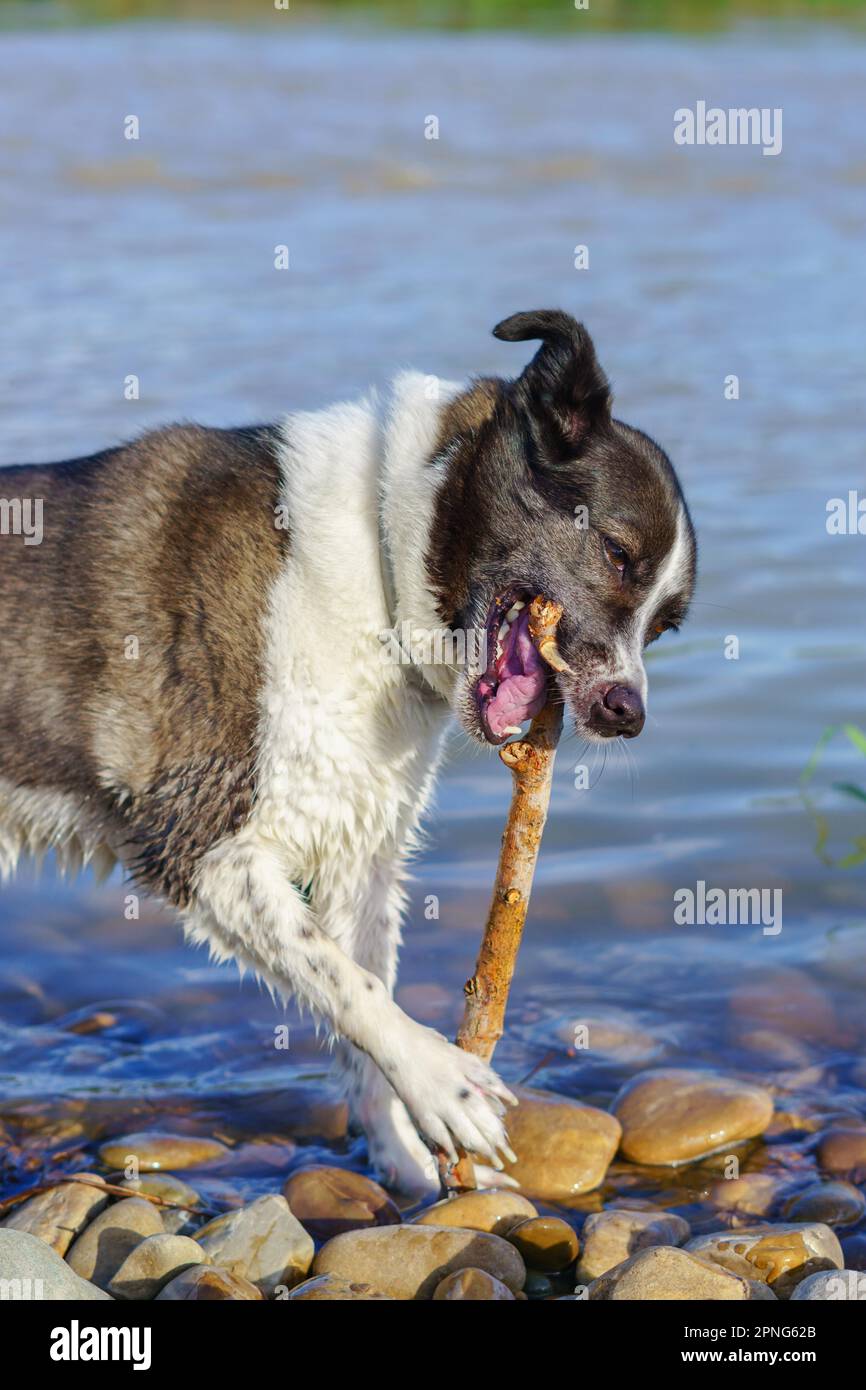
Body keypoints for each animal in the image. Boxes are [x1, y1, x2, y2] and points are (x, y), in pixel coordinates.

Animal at [0, 312, 695, 1195]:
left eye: (665, 626)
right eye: (615, 554)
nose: (627, 714)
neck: (378, 553)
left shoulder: (357, 857)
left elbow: (360, 1005)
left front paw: (407, 1163)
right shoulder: (200, 846)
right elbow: (351, 986)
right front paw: (442, 1081)